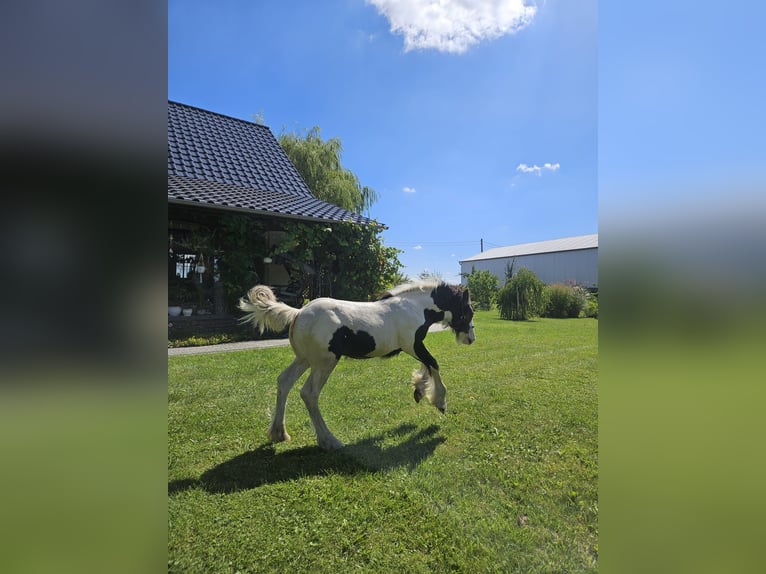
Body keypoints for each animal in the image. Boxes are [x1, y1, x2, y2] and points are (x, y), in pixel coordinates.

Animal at [240, 282, 474, 452]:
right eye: (468, 311)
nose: (471, 338)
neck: (413, 308)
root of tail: (298, 313)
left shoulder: (413, 346)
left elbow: (427, 366)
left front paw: (419, 391)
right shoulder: (412, 345)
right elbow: (433, 363)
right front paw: (440, 402)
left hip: (304, 359)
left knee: (284, 381)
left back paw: (279, 433)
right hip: (324, 363)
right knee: (309, 393)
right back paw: (330, 441)